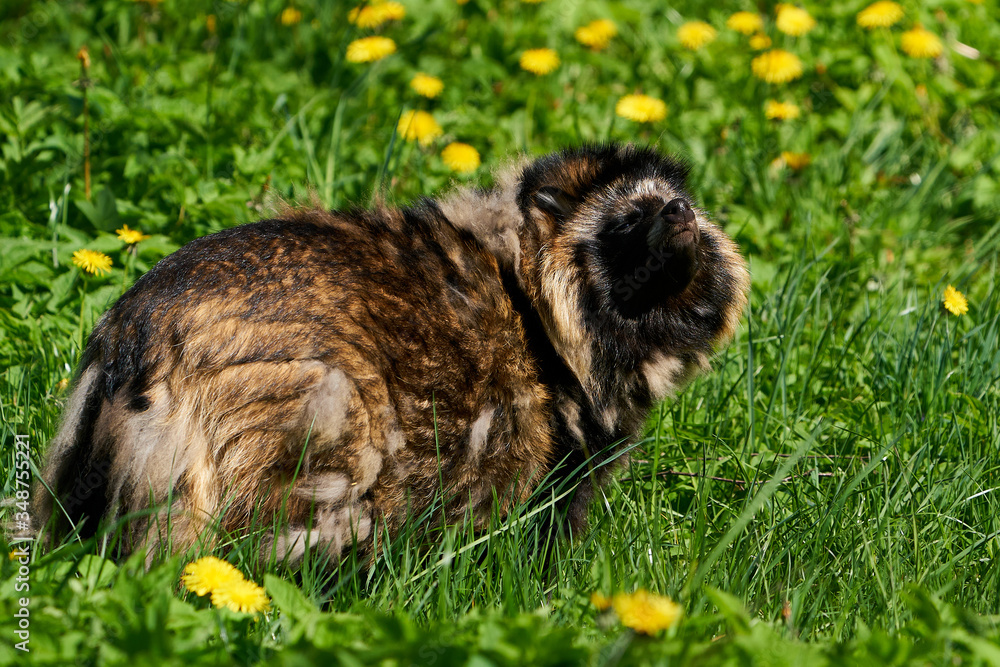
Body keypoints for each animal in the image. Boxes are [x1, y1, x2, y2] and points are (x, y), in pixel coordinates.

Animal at [34, 143, 749, 563]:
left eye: (674, 201)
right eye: (627, 220)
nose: (679, 212)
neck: (532, 301)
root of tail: (137, 341)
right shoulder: (557, 449)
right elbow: (542, 530)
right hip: (312, 419)